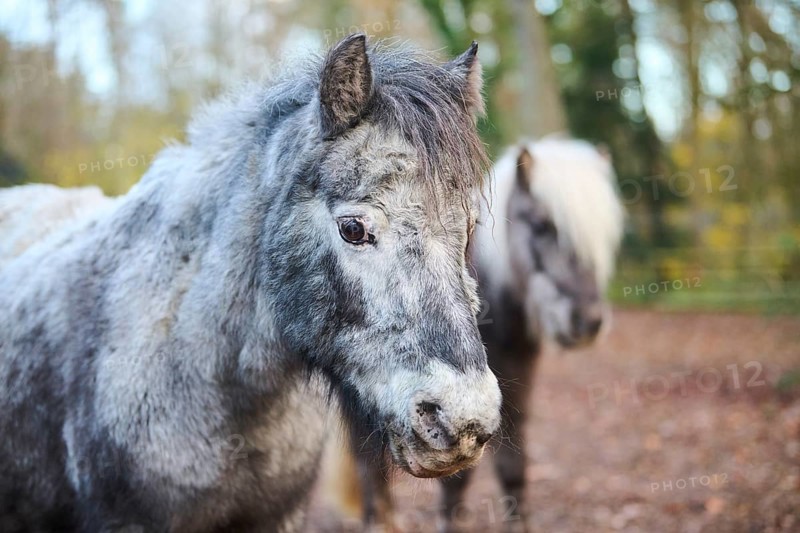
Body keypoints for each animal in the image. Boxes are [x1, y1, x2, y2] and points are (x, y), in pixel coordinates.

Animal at [342, 138, 625, 531]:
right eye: (542, 225)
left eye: (606, 235)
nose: (588, 321)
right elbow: (455, 482)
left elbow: (513, 469)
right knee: (371, 473)